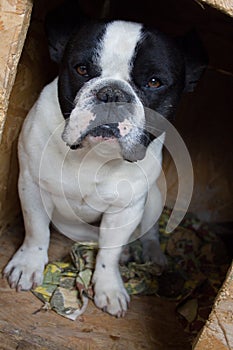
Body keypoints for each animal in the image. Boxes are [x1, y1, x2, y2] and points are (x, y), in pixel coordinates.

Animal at [3, 13, 207, 316]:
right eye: (81, 69)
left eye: (154, 82)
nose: (112, 93)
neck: (95, 155)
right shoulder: (31, 186)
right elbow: (36, 230)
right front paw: (28, 264)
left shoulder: (126, 210)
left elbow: (109, 252)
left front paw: (109, 286)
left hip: (154, 197)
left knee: (148, 232)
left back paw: (152, 254)